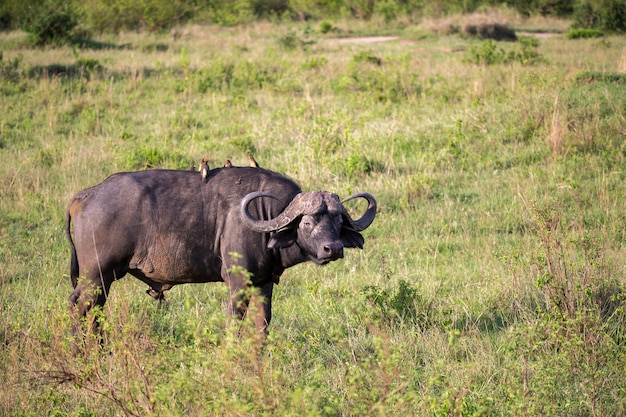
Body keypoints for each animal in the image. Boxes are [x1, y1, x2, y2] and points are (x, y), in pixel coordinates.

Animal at [66, 166, 376, 332]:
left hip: (102, 280)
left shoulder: (264, 283)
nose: (332, 248)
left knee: (94, 311)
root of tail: (87, 195)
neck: (265, 217)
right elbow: (234, 320)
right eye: (308, 222)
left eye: (338, 221)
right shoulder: (236, 283)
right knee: (79, 307)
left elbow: (262, 324)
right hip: (96, 275)